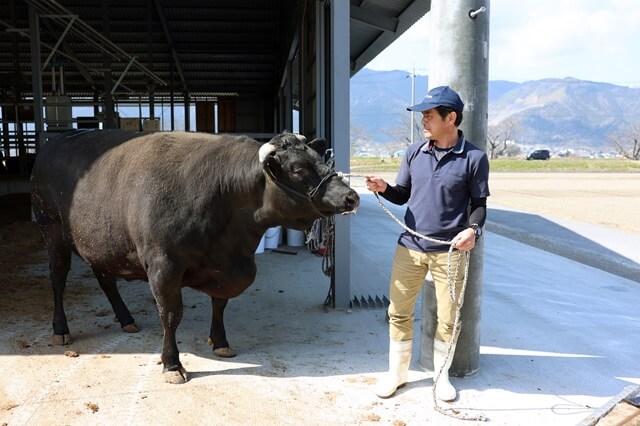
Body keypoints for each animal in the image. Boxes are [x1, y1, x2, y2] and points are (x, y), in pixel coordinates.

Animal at [31, 130, 360, 382]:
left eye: (320, 160)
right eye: (298, 171)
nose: (351, 197)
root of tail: (54, 140)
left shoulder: (224, 266)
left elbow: (220, 304)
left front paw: (221, 341)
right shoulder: (163, 266)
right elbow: (171, 315)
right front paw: (172, 364)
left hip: (101, 242)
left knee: (106, 280)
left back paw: (126, 319)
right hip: (52, 231)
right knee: (58, 278)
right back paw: (61, 330)